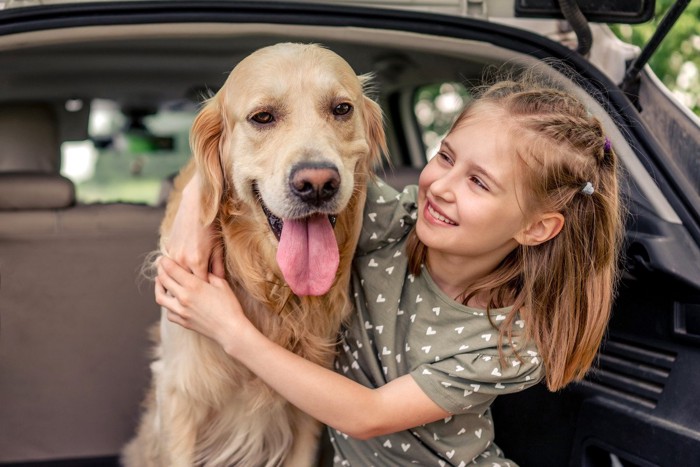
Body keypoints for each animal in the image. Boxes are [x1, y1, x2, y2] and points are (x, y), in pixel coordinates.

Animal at [120, 42, 382, 466]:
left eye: (342, 109)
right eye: (263, 117)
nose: (317, 184)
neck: (272, 289)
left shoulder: (307, 409)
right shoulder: (181, 396)